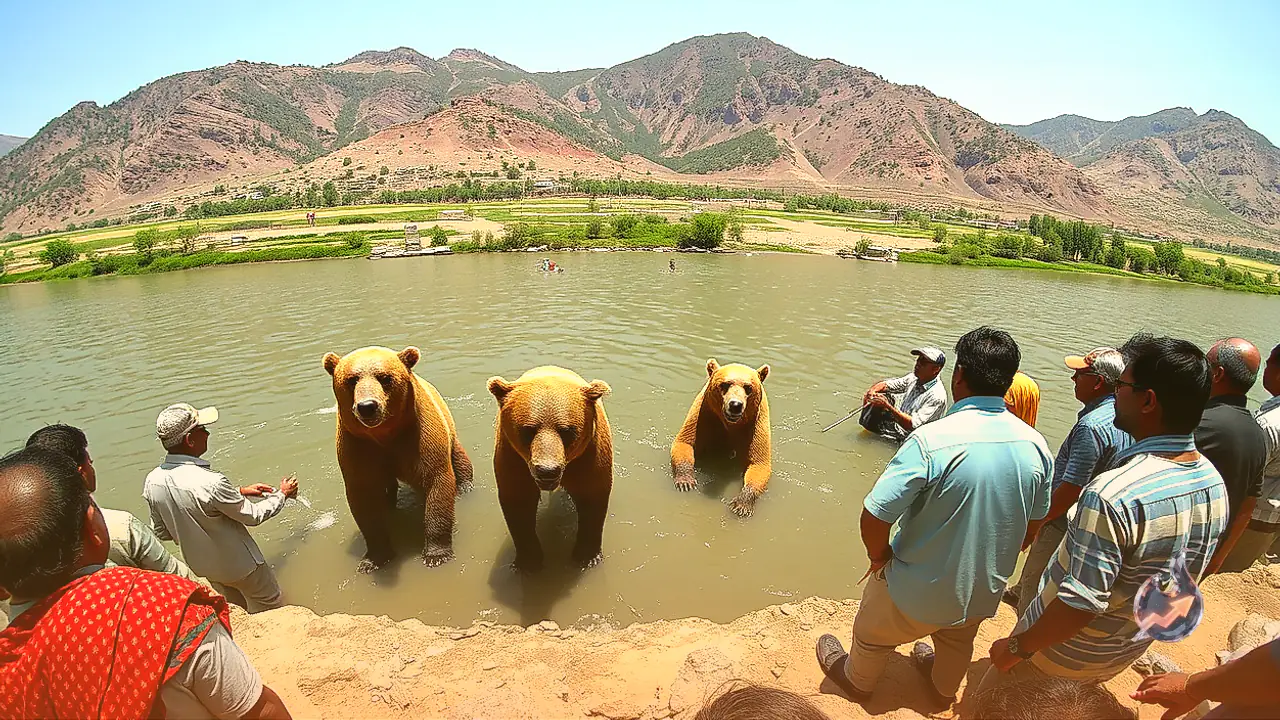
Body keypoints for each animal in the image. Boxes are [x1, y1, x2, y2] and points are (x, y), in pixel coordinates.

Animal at [323, 345, 473, 573]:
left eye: (385, 377)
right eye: (351, 379)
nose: (367, 406)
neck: (385, 434)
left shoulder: (420, 435)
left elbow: (437, 483)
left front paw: (436, 554)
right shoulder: (357, 445)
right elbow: (364, 500)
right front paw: (374, 558)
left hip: (449, 428)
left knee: (459, 457)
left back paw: (465, 486)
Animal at [486, 366, 613, 572]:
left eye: (567, 430)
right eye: (527, 430)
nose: (547, 470)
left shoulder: (590, 453)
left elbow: (592, 496)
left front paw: (587, 556)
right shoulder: (513, 457)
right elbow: (518, 500)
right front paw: (528, 561)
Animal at [671, 358, 772, 517]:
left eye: (748, 387)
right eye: (725, 384)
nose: (735, 405)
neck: (731, 424)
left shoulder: (756, 423)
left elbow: (759, 463)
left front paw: (741, 505)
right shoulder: (704, 413)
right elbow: (684, 442)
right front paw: (685, 482)